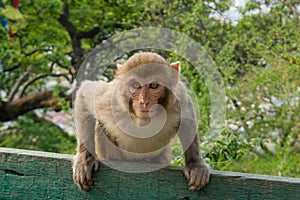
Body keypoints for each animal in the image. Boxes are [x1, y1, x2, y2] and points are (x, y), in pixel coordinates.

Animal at [73, 52, 209, 191]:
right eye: (135, 85)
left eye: (153, 85)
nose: (144, 102)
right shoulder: (110, 99)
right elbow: (84, 95)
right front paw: (85, 160)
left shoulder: (178, 96)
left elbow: (187, 116)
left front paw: (195, 164)